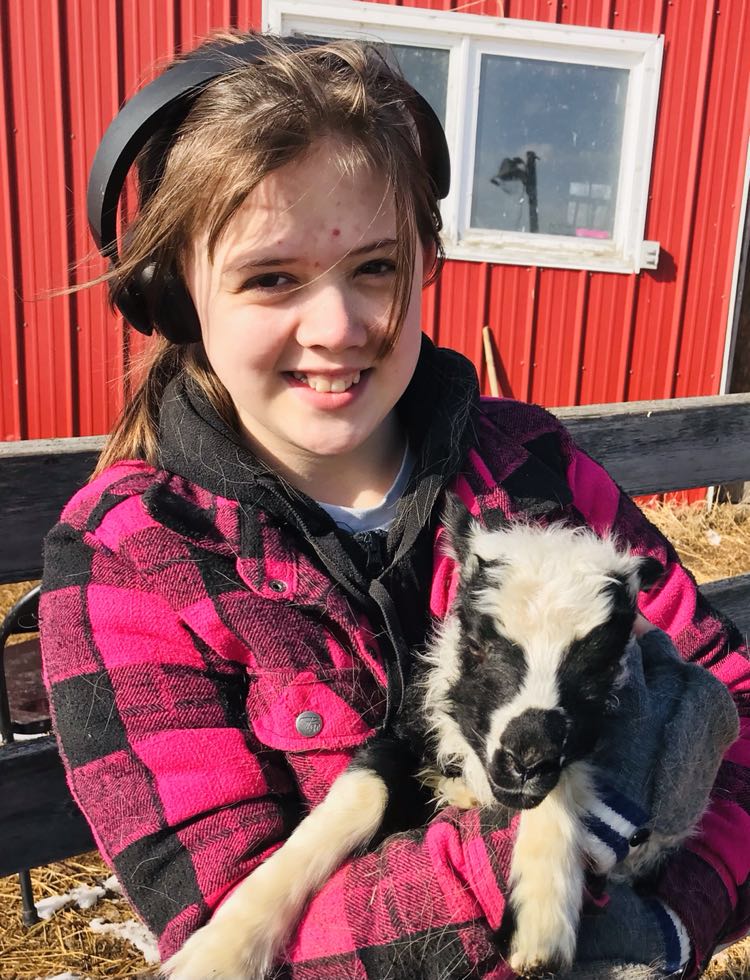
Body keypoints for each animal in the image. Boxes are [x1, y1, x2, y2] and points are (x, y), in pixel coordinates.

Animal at [162, 516, 690, 980]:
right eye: (475, 643)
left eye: (598, 665)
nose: (525, 760)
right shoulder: (404, 735)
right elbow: (362, 792)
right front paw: (223, 951)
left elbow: (566, 783)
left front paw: (543, 922)